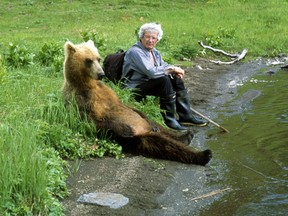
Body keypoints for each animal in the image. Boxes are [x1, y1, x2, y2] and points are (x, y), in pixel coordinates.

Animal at [62, 40, 212, 165]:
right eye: (88, 60)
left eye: (98, 58)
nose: (101, 74)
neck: (88, 85)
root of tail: (145, 130)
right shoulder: (80, 100)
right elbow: (91, 122)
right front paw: (126, 129)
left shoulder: (107, 93)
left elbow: (125, 105)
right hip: (137, 140)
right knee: (162, 144)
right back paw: (204, 154)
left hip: (146, 125)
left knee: (160, 127)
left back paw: (186, 135)